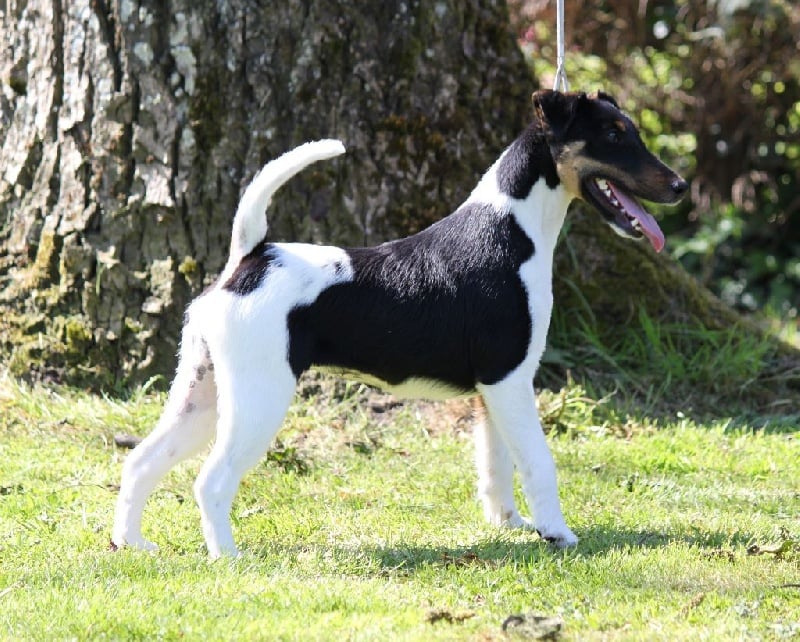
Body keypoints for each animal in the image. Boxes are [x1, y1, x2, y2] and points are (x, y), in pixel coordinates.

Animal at [112, 89, 688, 556]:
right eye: (613, 135)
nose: (681, 186)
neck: (514, 228)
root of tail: (250, 259)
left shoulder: (494, 391)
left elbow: (497, 464)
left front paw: (509, 524)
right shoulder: (509, 380)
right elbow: (537, 462)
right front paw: (557, 533)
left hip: (201, 393)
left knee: (142, 461)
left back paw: (132, 544)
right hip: (258, 398)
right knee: (212, 480)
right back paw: (228, 557)